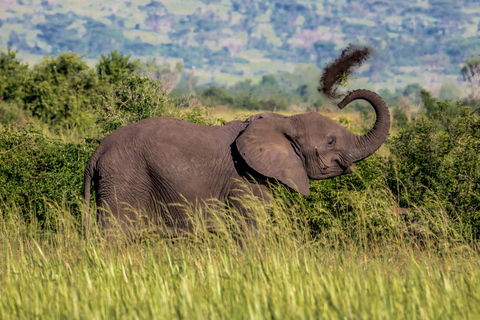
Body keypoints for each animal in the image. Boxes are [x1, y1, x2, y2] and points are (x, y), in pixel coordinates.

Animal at [82, 89, 390, 236]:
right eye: (330, 141)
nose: (341, 100)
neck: (282, 121)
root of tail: (96, 152)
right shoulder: (245, 180)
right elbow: (251, 228)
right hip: (124, 179)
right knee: (116, 233)